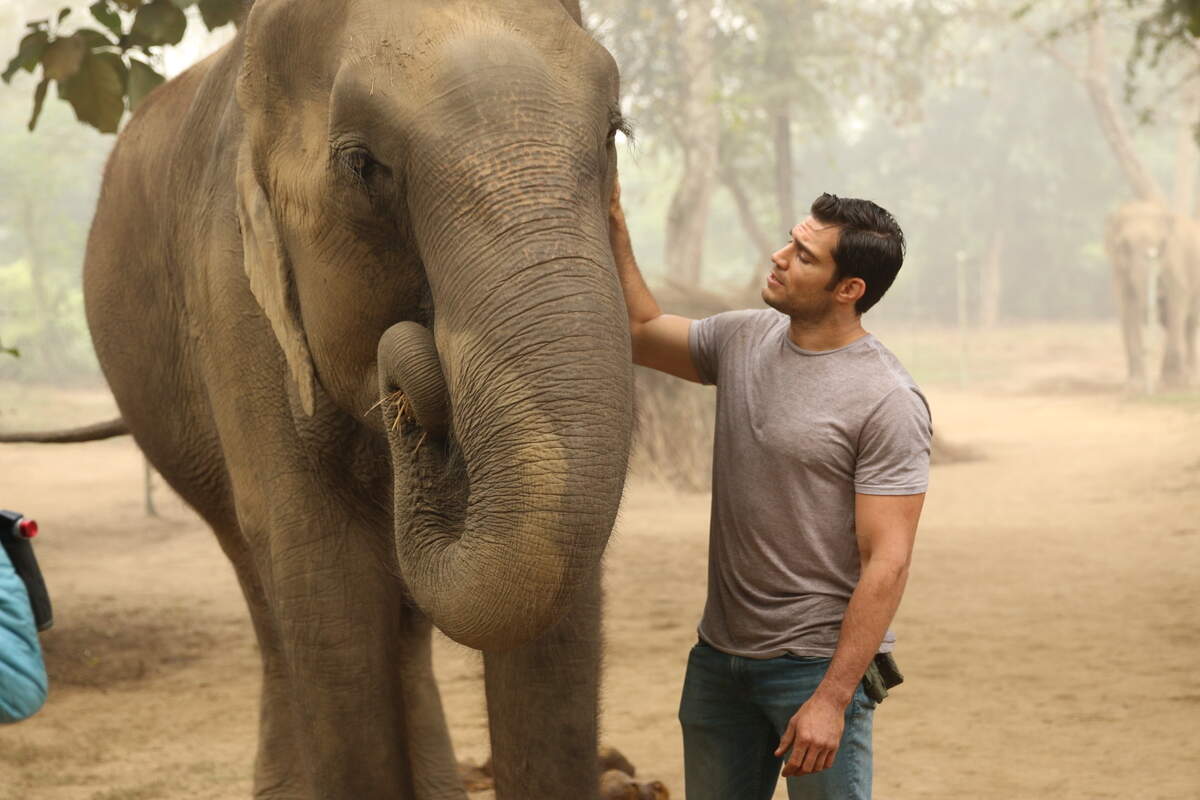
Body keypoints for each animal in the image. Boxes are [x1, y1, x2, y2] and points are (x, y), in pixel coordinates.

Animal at [20, 0, 635, 796]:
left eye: (614, 131)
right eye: (361, 164)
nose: (407, 385)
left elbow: (558, 604)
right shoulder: (231, 294)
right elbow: (323, 572)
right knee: (263, 581)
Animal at [1104, 200, 1200, 390]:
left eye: (1160, 244)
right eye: (1124, 245)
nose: (1157, 297)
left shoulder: (1174, 261)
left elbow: (1177, 302)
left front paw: (1172, 384)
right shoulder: (1119, 270)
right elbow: (1128, 309)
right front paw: (1135, 386)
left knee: (1189, 325)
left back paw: (1189, 381)